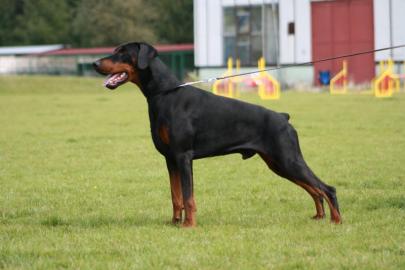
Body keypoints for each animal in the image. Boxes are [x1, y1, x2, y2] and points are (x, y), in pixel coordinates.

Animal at [92, 42, 340, 228]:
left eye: (122, 52)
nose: (94, 63)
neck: (164, 94)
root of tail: (283, 117)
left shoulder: (183, 156)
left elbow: (188, 196)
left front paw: (189, 225)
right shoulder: (170, 159)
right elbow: (176, 196)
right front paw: (174, 222)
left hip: (287, 158)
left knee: (327, 188)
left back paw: (336, 220)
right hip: (278, 163)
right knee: (314, 189)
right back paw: (319, 216)